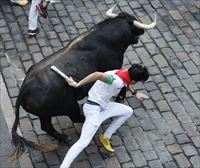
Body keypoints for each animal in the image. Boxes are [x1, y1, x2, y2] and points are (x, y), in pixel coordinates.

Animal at [10, 12, 150, 155]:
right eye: (133, 23)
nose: (142, 31)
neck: (108, 39)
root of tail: (25, 86)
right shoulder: (113, 69)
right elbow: (123, 86)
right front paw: (120, 98)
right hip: (69, 106)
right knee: (75, 118)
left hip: (45, 114)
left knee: (46, 127)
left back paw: (63, 137)